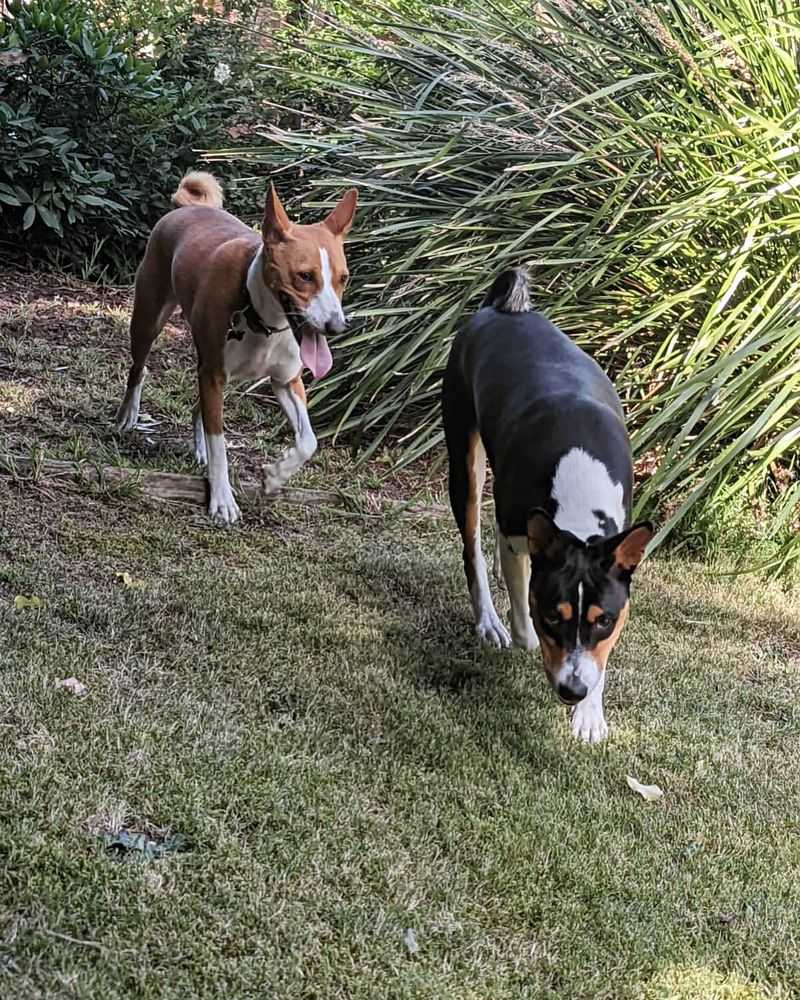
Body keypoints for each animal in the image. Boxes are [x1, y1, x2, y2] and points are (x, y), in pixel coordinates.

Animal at [115, 174, 356, 524]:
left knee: (197, 407)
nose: (336, 326)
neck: (262, 317)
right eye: (305, 276)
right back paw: (127, 414)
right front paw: (223, 499)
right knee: (139, 367)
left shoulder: (286, 381)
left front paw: (276, 475)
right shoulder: (214, 374)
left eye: (343, 278)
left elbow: (308, 440)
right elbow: (220, 444)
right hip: (149, 318)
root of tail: (190, 207)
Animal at [440, 268, 652, 744]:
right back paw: (488, 617)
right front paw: (526, 636)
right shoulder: (517, 536)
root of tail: (500, 309)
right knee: (472, 548)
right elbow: (524, 617)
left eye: (603, 621)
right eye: (554, 617)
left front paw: (590, 715)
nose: (573, 691)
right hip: (465, 460)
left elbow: (601, 658)